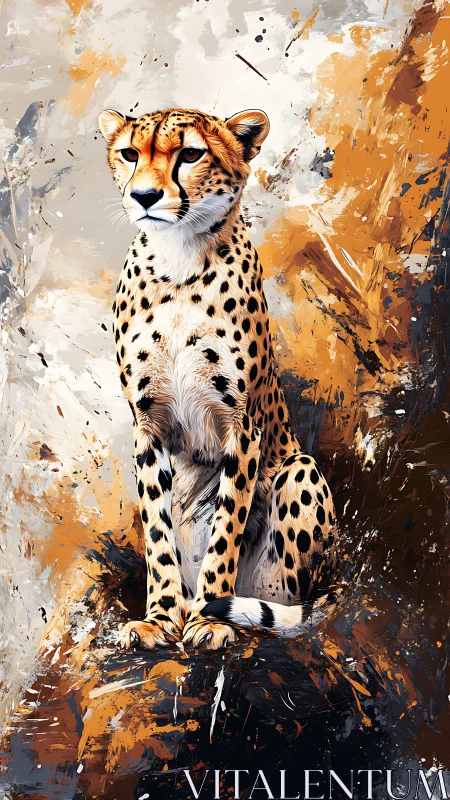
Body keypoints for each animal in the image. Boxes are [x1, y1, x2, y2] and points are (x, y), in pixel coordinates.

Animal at [99, 106, 339, 651]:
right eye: (129, 153)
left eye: (191, 154)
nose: (144, 196)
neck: (179, 259)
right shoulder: (148, 426)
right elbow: (158, 534)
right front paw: (160, 618)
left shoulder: (242, 425)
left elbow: (227, 526)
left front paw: (210, 619)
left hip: (299, 472)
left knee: (288, 601)